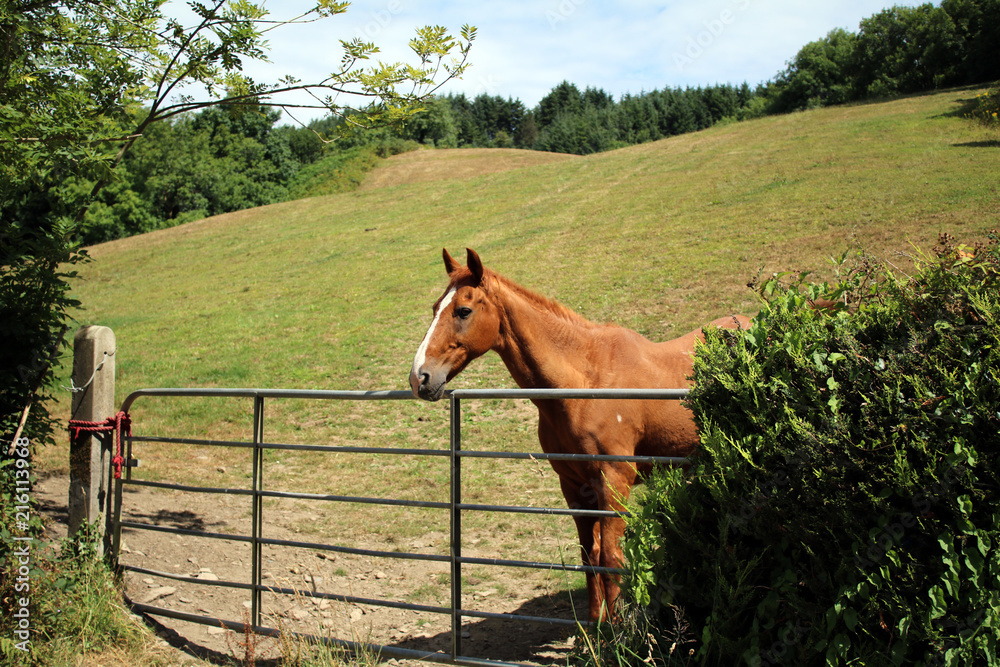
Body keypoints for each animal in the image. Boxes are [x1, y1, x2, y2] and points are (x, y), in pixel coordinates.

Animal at [408, 248, 751, 622]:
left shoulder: (615, 480)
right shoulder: (574, 485)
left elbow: (611, 559)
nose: (420, 377)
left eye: (463, 310)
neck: (584, 382)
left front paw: (618, 630)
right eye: (435, 307)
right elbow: (589, 557)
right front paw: (594, 624)